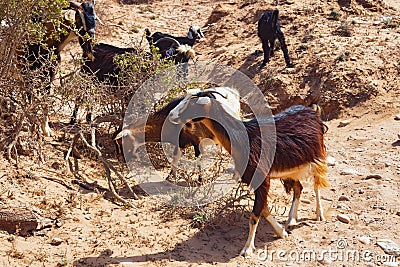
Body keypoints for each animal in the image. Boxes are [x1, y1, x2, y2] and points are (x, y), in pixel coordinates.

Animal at [20, 0, 101, 136]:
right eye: (79, 16)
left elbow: (45, 97)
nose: (90, 35)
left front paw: (45, 129)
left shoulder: (51, 73)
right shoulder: (27, 73)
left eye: (94, 16)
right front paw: (31, 124)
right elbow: (30, 98)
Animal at [168, 91, 328, 258]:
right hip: (291, 168)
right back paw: (291, 220)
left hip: (317, 156)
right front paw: (281, 232)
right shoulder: (256, 180)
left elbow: (254, 215)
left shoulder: (262, 179)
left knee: (317, 184)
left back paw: (319, 214)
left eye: (193, 102)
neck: (243, 136)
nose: (172, 115)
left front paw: (247, 248)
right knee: (298, 188)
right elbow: (264, 210)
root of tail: (312, 111)